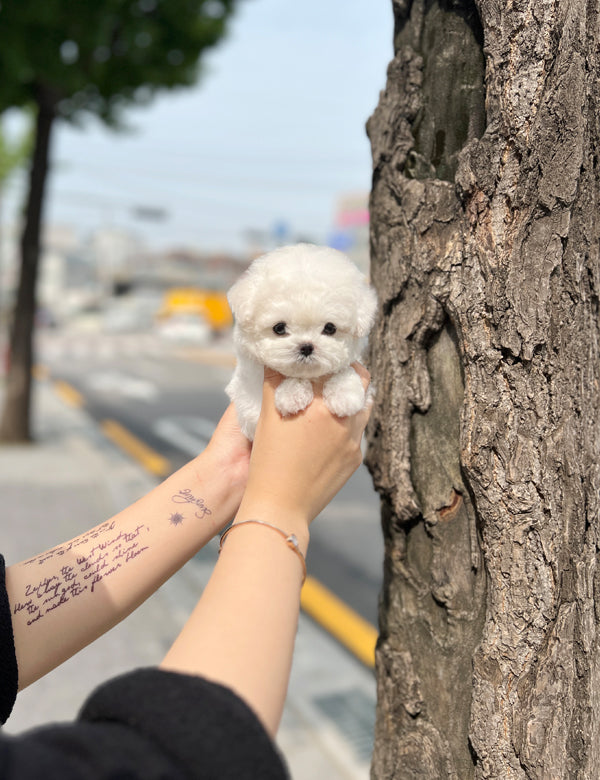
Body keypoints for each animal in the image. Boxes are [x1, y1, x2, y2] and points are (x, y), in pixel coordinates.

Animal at [225, 244, 376, 438]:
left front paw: (345, 395)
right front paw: (291, 395)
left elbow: (345, 370)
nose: (306, 347)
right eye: (279, 328)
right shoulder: (248, 401)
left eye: (330, 328)